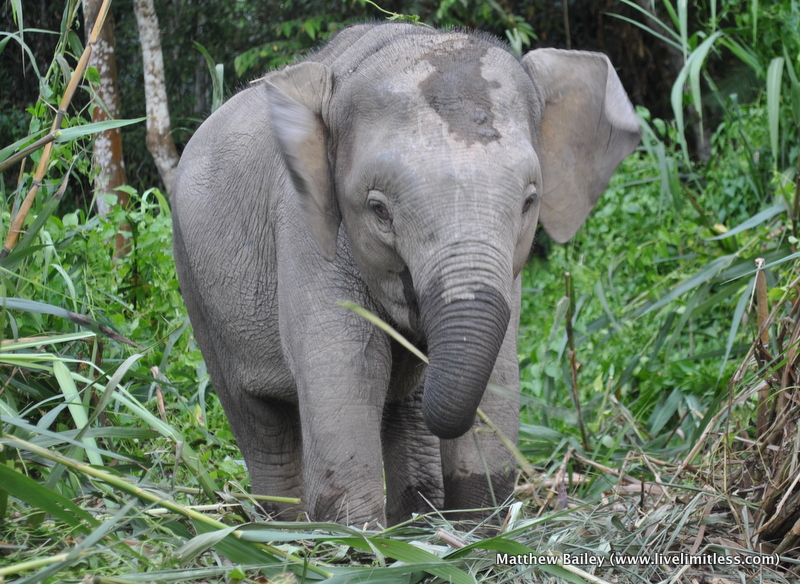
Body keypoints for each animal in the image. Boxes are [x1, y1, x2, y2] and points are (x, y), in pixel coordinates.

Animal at [171, 22, 640, 527]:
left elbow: (498, 370)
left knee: (403, 409)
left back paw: (417, 517)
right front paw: (356, 536)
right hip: (195, 282)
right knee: (258, 417)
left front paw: (477, 529)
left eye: (529, 201)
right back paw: (284, 528)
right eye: (379, 210)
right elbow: (348, 367)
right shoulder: (303, 227)